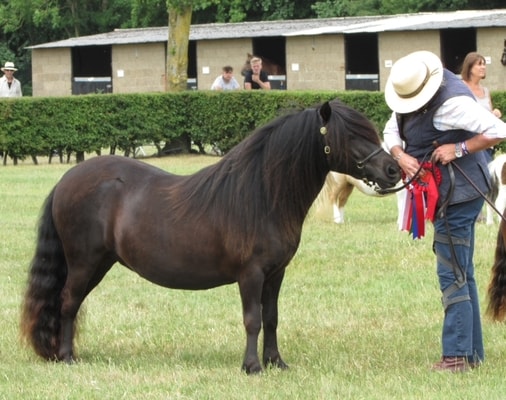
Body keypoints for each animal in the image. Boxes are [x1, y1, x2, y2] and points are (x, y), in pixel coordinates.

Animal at [19, 98, 402, 374]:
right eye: (352, 136)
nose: (393, 170)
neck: (262, 194)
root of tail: (66, 180)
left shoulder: (275, 274)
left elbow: (271, 318)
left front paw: (276, 362)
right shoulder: (251, 274)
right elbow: (252, 320)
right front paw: (252, 366)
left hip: (99, 264)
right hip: (84, 262)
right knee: (68, 302)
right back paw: (67, 357)